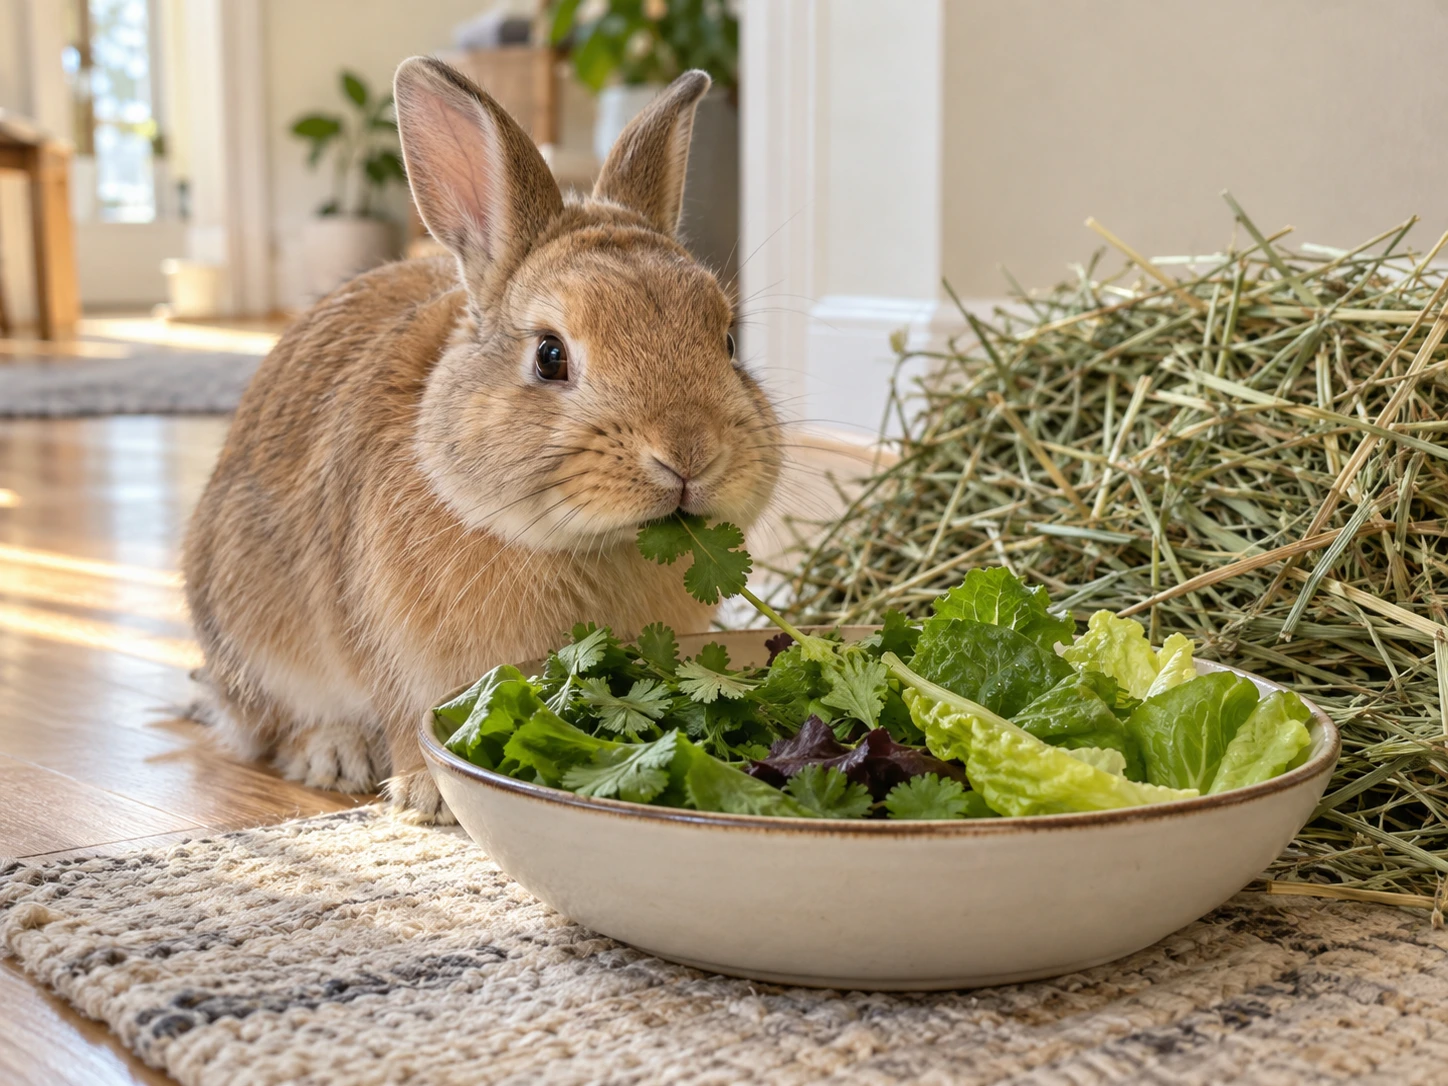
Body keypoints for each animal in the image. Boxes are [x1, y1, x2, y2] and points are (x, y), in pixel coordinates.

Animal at [181, 57, 781, 822]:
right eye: (550, 356)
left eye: (727, 341)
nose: (689, 454)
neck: (587, 545)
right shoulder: (389, 649)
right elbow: (402, 715)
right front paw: (424, 793)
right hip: (249, 623)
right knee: (269, 724)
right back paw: (336, 754)